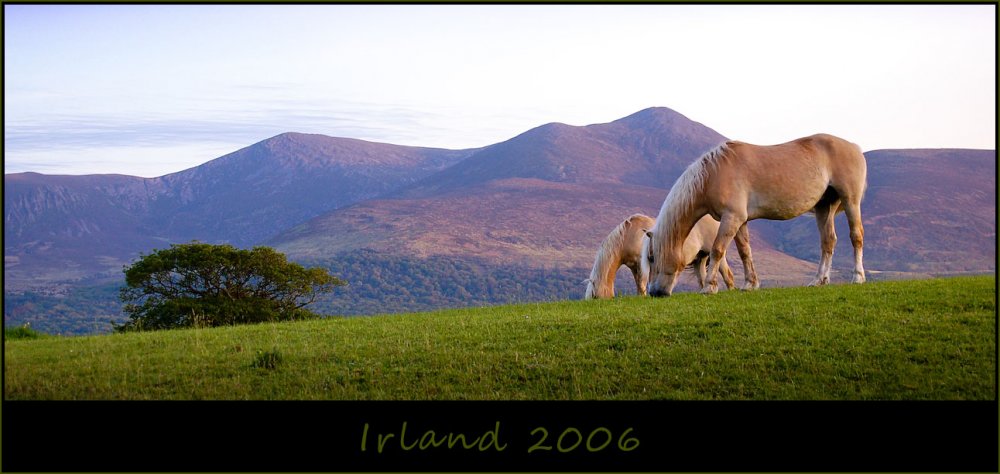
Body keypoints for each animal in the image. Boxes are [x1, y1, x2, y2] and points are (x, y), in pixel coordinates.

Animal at [584, 213, 752, 298]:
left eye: (594, 296)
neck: (629, 234)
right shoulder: (634, 266)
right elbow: (639, 284)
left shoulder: (641, 264)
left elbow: (642, 283)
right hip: (700, 258)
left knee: (727, 275)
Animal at [648, 133, 868, 296]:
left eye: (652, 258)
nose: (654, 292)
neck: (713, 174)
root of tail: (853, 147)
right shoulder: (740, 221)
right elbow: (745, 251)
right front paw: (750, 284)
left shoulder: (732, 218)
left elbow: (717, 250)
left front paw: (709, 287)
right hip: (824, 207)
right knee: (828, 242)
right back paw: (819, 280)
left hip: (850, 201)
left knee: (856, 236)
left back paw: (858, 277)